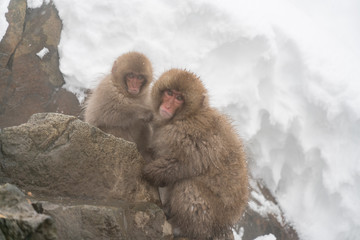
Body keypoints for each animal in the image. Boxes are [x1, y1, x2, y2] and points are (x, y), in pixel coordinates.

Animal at [142, 68, 249, 239]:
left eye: (179, 98)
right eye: (169, 93)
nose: (167, 105)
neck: (189, 115)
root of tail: (225, 224)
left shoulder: (184, 134)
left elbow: (186, 164)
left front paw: (149, 172)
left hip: (211, 217)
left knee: (188, 186)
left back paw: (185, 229)